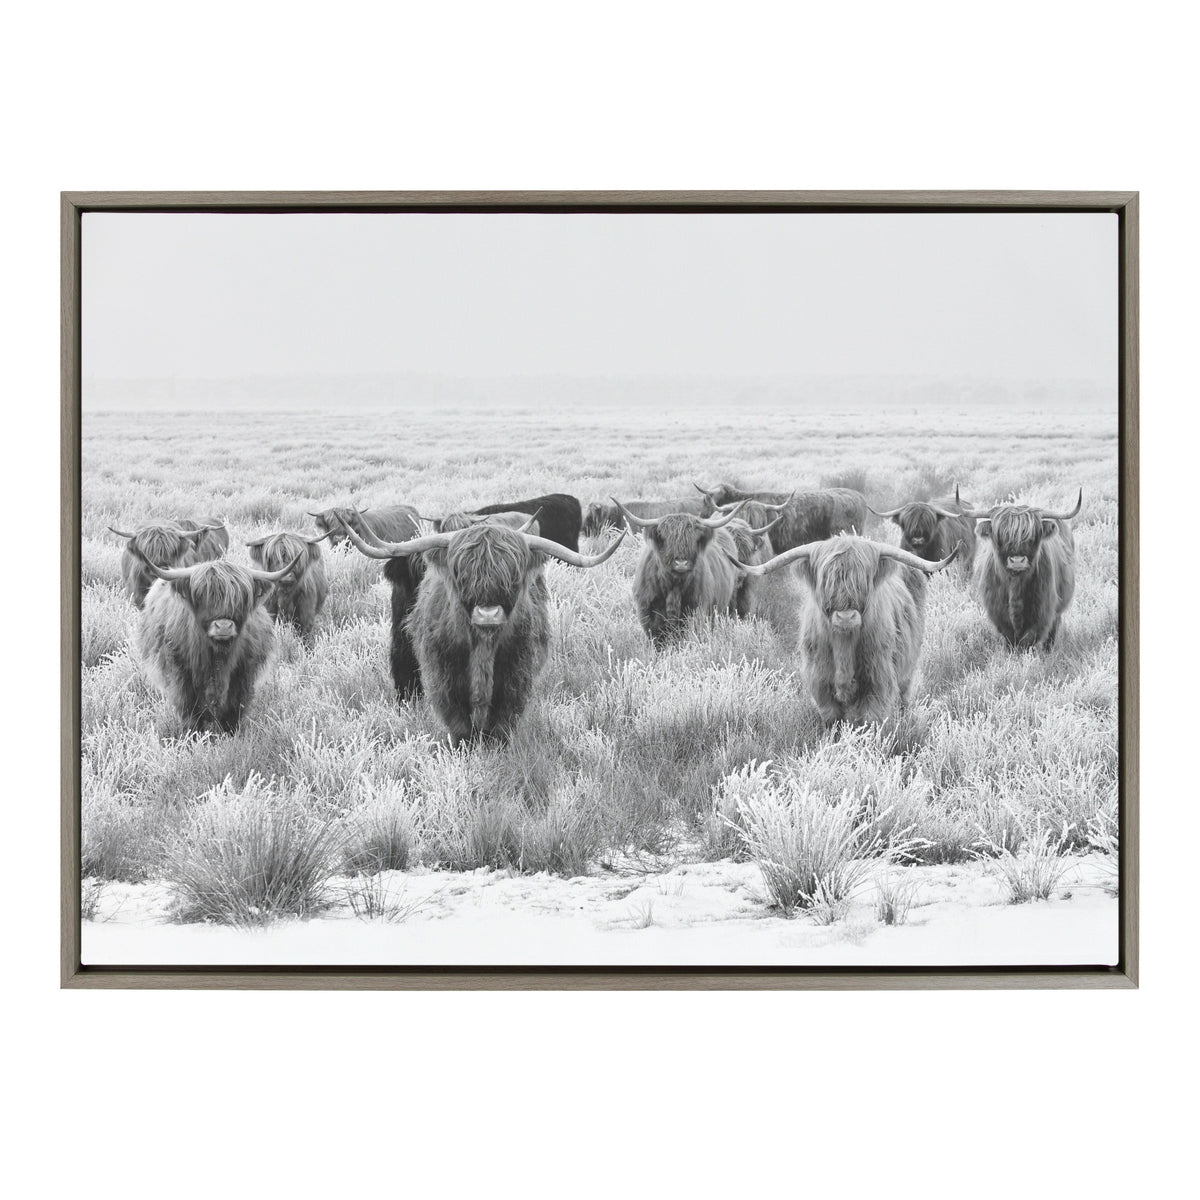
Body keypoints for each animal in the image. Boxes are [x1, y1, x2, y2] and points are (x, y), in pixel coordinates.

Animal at [133, 553, 302, 734]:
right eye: (201, 596)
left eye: (241, 598)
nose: (224, 626)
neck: (217, 658)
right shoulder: (180, 675)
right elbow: (190, 711)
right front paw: (193, 735)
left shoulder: (244, 675)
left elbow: (234, 710)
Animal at [336, 517, 625, 745]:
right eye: (461, 572)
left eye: (513, 575)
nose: (488, 614)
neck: (482, 646)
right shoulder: (443, 676)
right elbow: (459, 723)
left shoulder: (516, 675)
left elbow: (502, 722)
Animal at [613, 498, 764, 647]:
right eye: (666, 538)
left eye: (693, 539)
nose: (681, 563)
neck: (674, 586)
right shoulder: (649, 616)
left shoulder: (696, 612)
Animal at [727, 535, 959, 725]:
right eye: (826, 580)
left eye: (863, 580)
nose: (845, 616)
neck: (844, 646)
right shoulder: (821, 684)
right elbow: (833, 721)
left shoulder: (878, 682)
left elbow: (869, 722)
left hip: (907, 668)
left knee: (904, 695)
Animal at [966, 489, 1082, 650]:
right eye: (1000, 536)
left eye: (1032, 536)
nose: (1017, 561)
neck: (1015, 583)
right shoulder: (999, 615)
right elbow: (1011, 640)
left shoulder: (1043, 612)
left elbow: (1027, 640)